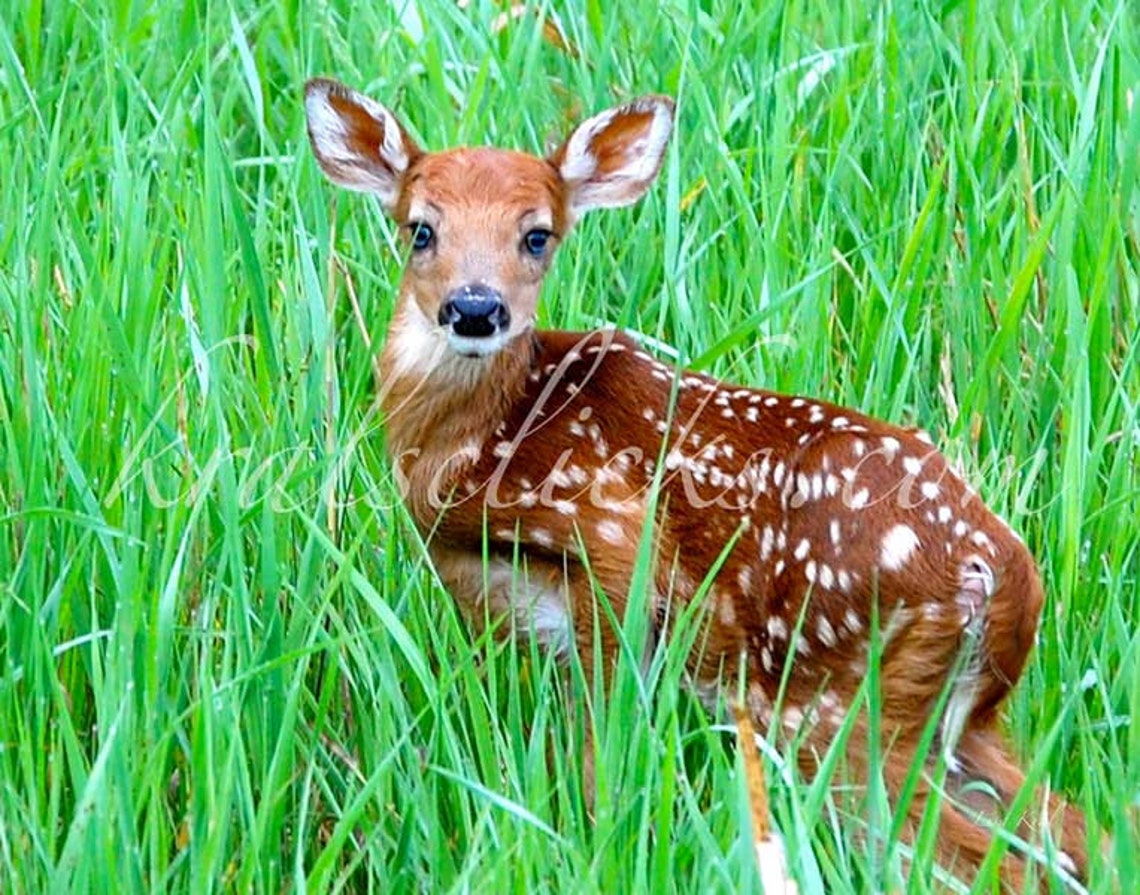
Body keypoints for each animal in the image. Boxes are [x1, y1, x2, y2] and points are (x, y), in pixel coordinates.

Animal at [303, 78, 1089, 890]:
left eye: (538, 235)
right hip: (957, 721)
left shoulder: (613, 542)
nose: (475, 308)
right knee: (1070, 832)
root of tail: (1004, 576)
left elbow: (601, 755)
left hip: (835, 703)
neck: (477, 449)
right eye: (420, 229)